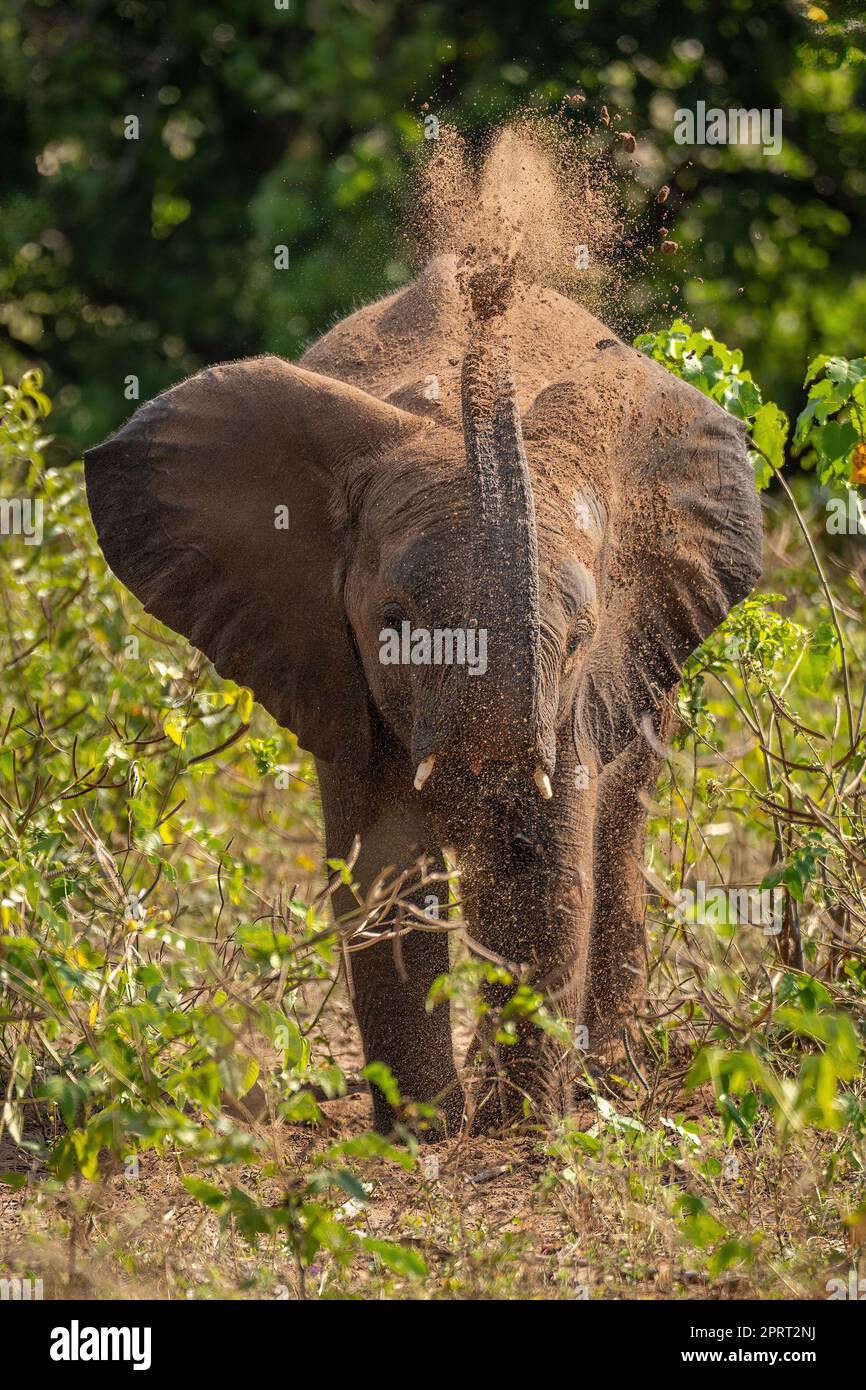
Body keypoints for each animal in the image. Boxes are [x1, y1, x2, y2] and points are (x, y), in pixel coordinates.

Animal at [84, 249, 763, 1137]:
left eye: (580, 635)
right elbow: (386, 874)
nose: (488, 277)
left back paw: (605, 1073)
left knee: (620, 830)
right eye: (396, 625)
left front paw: (518, 1130)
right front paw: (425, 1133)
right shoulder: (337, 672)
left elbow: (547, 871)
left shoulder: (582, 693)